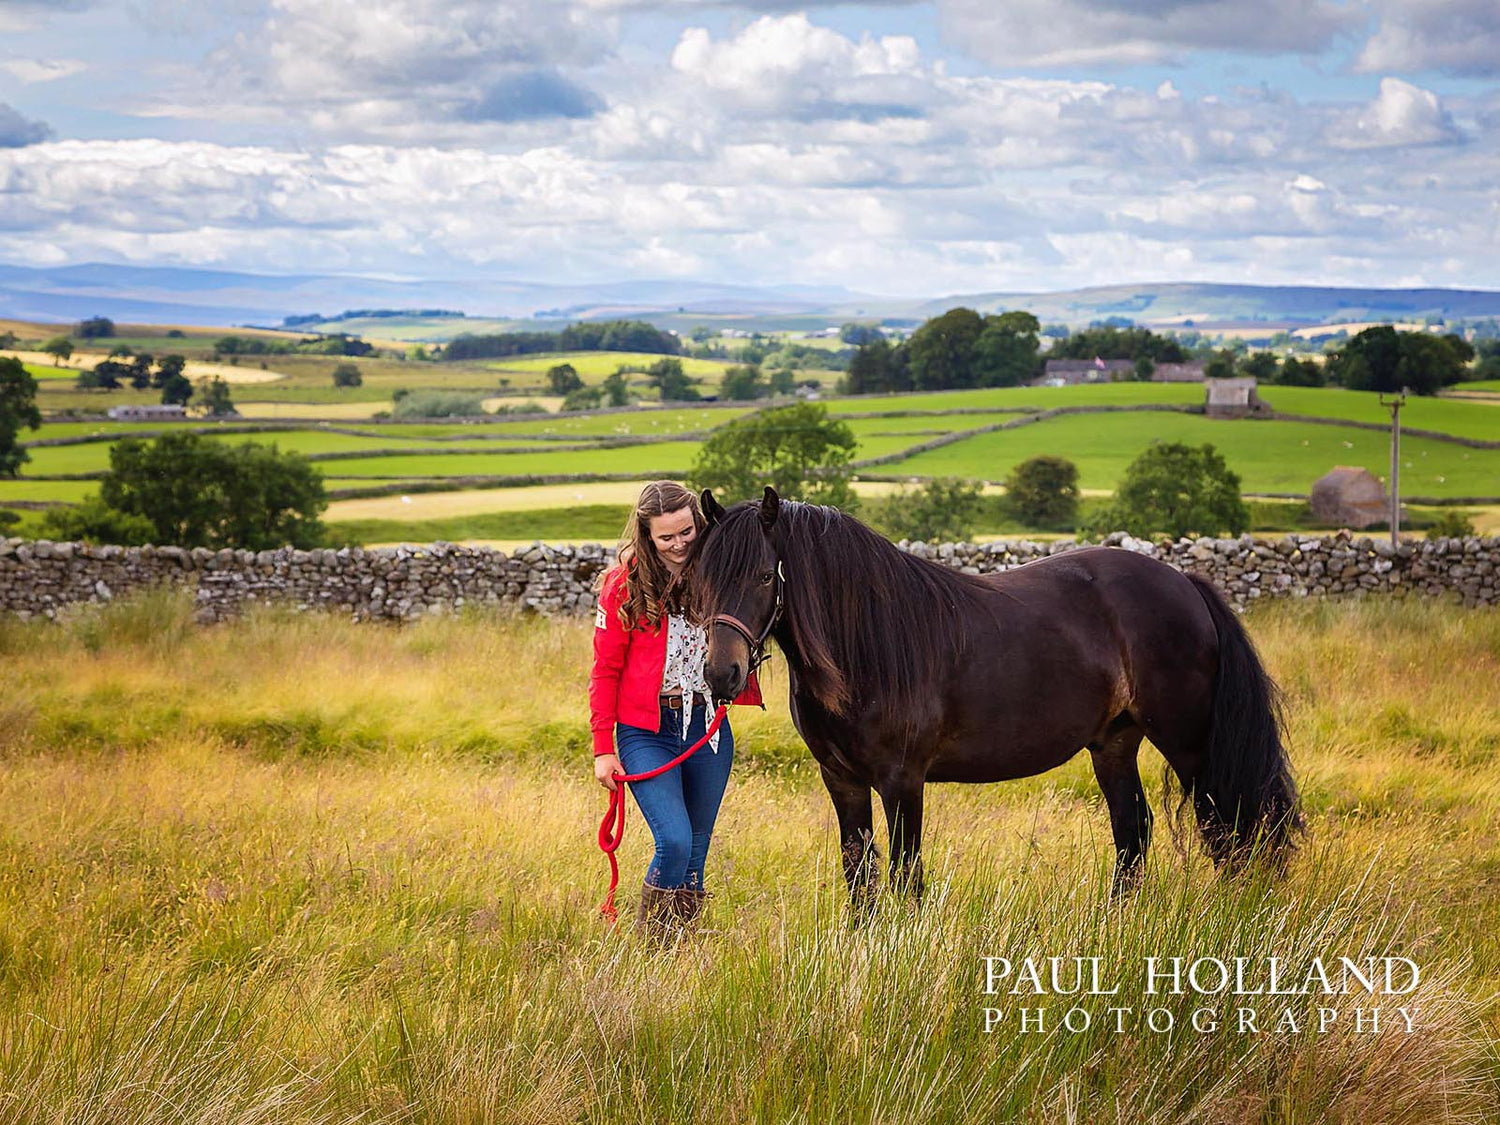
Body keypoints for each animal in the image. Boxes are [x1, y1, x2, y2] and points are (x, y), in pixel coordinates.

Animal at [690, 489, 1302, 912]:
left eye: (764, 575)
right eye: (701, 576)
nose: (721, 674)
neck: (868, 642)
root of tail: (1184, 584)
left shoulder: (902, 780)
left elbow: (907, 874)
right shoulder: (841, 779)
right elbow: (859, 874)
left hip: (1189, 741)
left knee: (1228, 826)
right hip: (1114, 743)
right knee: (1135, 828)